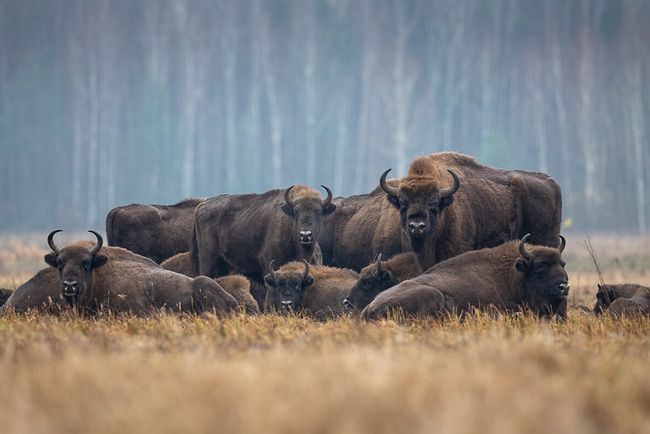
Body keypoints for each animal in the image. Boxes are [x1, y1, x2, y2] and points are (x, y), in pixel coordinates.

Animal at [190, 184, 334, 280]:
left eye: (318, 212)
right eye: (295, 211)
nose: (305, 235)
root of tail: (200, 206)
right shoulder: (269, 263)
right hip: (208, 261)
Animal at [360, 234, 568, 322]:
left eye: (563, 264)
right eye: (540, 266)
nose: (564, 287)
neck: (515, 276)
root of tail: (369, 309)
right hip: (434, 294)